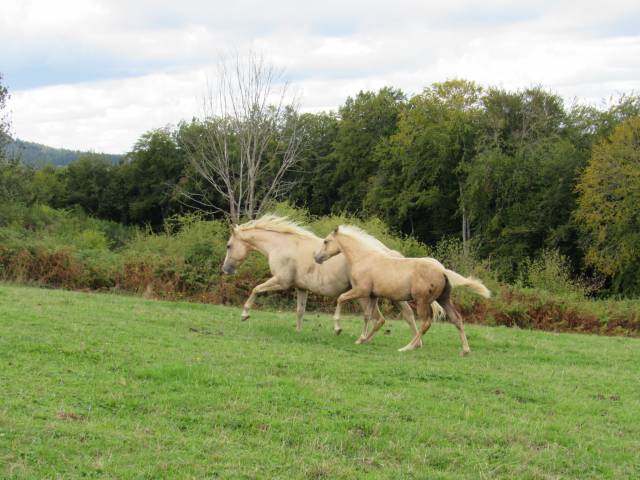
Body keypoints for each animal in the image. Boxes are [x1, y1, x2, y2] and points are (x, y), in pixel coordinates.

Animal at [221, 215, 443, 349]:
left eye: (229, 245)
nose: (226, 269)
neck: (281, 245)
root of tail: (384, 251)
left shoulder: (281, 282)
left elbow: (256, 289)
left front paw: (245, 314)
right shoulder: (301, 288)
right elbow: (300, 311)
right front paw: (298, 332)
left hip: (365, 295)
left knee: (379, 318)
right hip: (393, 294)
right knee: (406, 314)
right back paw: (415, 343)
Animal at [314, 225, 491, 354]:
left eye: (326, 241)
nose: (317, 258)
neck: (364, 258)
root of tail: (442, 270)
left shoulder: (360, 291)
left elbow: (341, 299)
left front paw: (338, 328)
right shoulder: (372, 295)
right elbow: (367, 316)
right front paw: (361, 339)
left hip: (421, 301)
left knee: (426, 323)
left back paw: (408, 347)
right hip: (444, 299)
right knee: (457, 319)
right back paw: (465, 350)